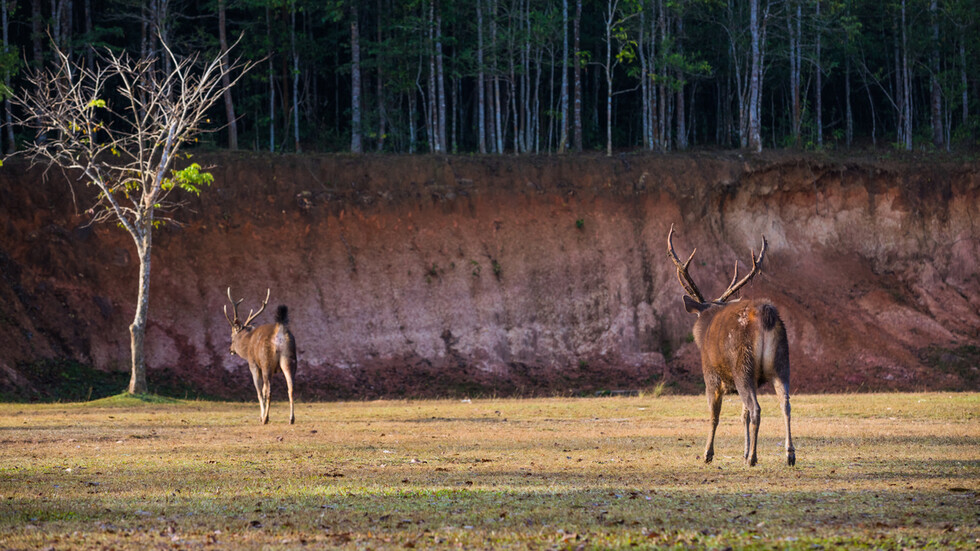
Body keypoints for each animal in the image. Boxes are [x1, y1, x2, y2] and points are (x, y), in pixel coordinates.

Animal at [225, 288, 296, 426]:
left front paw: (261, 416)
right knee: (291, 388)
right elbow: (263, 389)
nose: (230, 349)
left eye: (232, 336)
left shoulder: (253, 364)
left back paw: (265, 419)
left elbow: (259, 391)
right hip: (290, 359)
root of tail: (280, 331)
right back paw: (291, 419)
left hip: (266, 362)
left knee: (269, 391)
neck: (247, 345)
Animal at [668, 226, 796, 468]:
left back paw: (754, 458)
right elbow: (741, 415)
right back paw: (789, 454)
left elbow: (714, 415)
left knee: (756, 408)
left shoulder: (710, 374)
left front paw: (708, 454)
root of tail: (766, 314)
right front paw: (743, 452)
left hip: (742, 366)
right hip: (782, 361)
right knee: (785, 404)